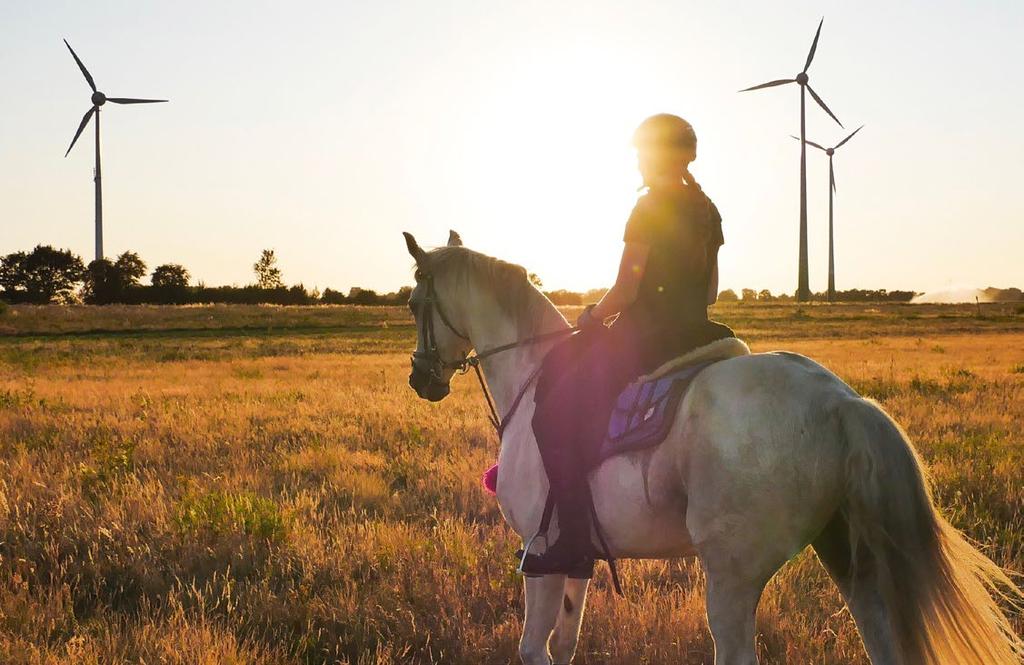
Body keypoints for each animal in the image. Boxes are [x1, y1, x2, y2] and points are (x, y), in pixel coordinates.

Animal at [403, 229, 1019, 663]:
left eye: (412, 303)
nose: (421, 380)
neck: (531, 377)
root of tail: (842, 402)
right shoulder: (577, 556)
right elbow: (564, 645)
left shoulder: (539, 552)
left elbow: (533, 649)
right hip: (851, 558)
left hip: (731, 573)